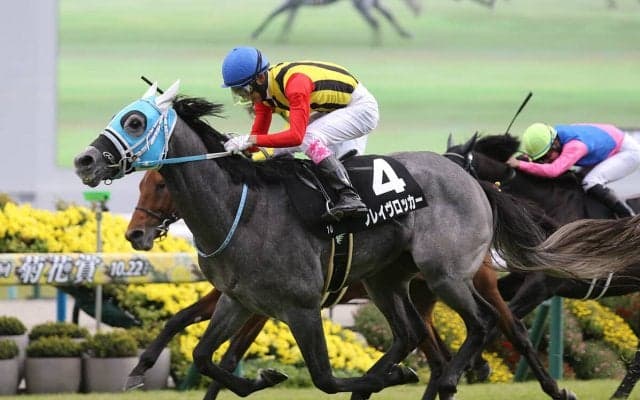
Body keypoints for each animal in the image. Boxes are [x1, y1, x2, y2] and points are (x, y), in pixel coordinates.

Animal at [125, 169, 576, 400]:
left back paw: (552, 388)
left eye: (161, 184)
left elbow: (226, 353)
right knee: (431, 350)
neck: (245, 214)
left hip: (458, 280)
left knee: (506, 330)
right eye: (142, 183)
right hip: (417, 292)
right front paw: (142, 366)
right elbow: (184, 327)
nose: (135, 234)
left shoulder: (268, 307)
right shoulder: (236, 298)